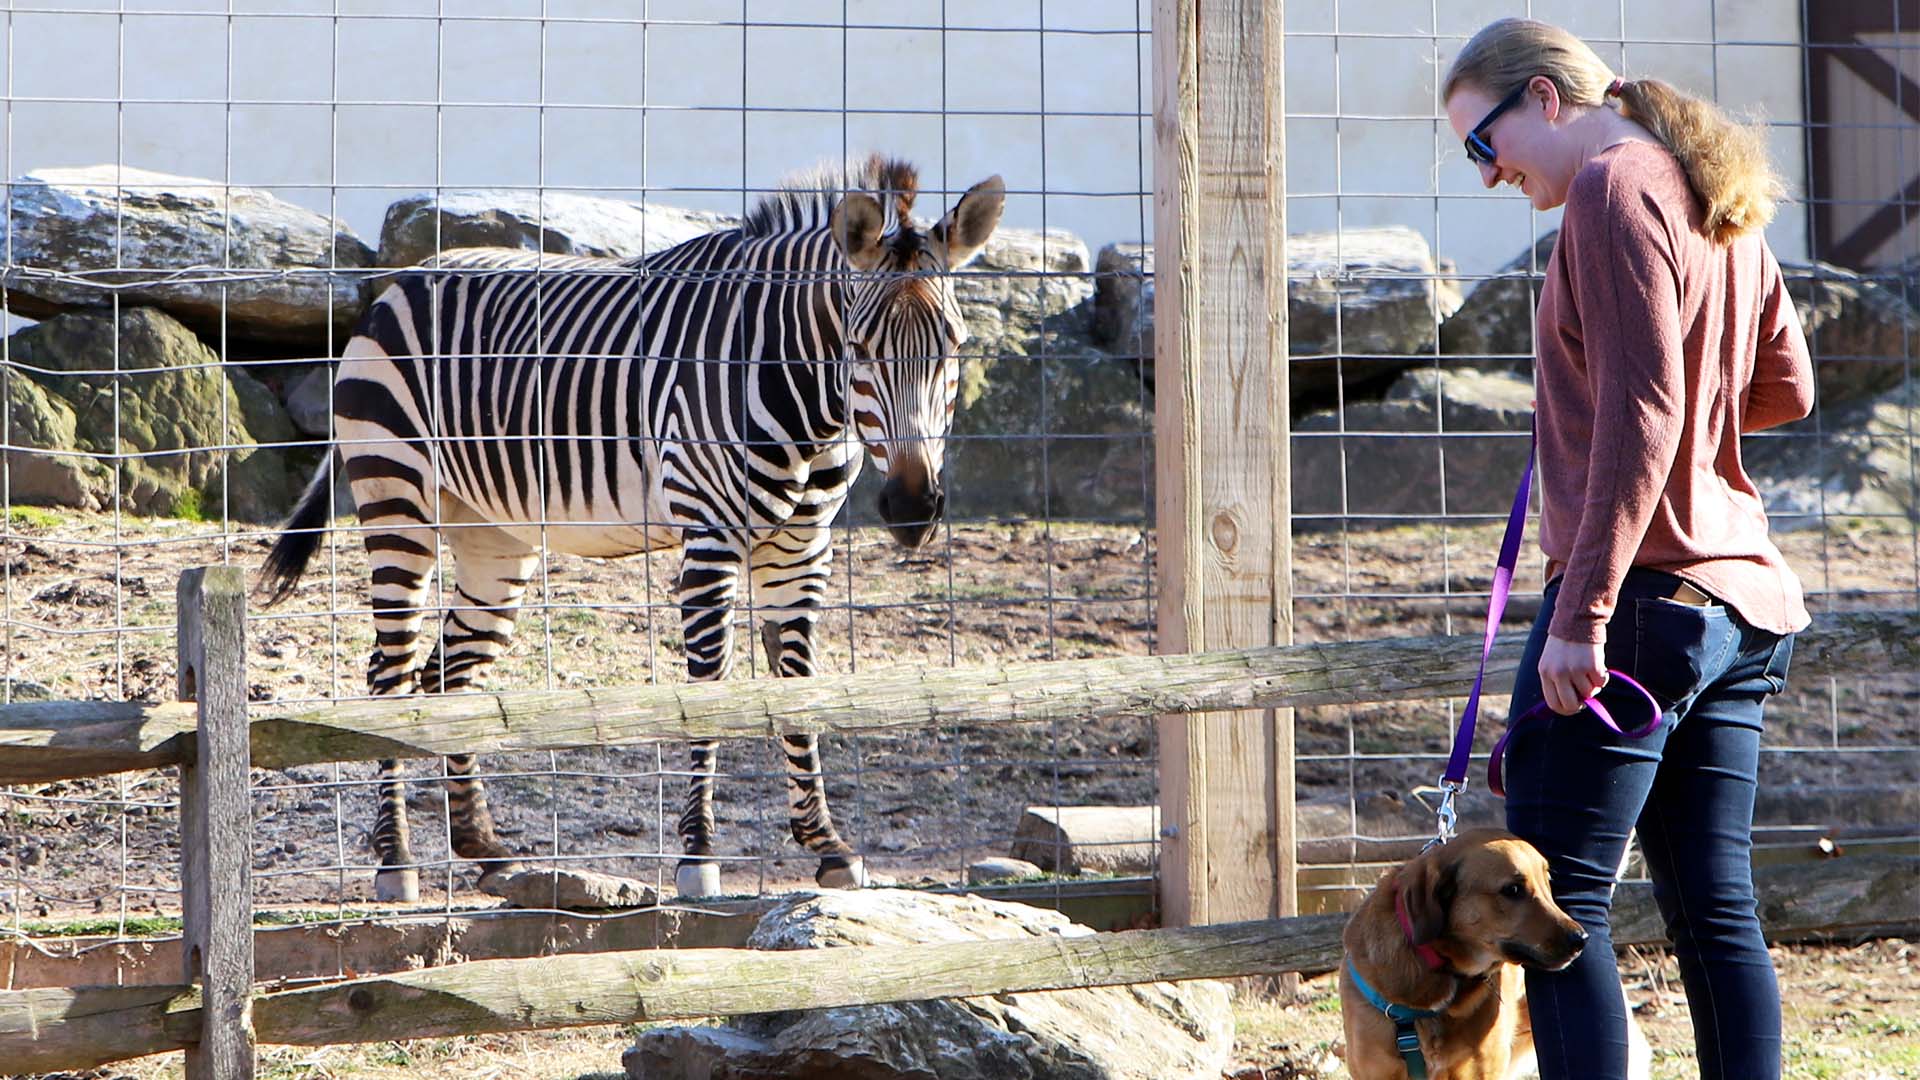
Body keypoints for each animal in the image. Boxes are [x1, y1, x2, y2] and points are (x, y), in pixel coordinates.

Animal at [264, 155, 1013, 895]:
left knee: (449, 676)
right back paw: (397, 863)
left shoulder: (803, 545)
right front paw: (699, 857)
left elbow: (799, 685)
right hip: (397, 496)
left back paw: (485, 849)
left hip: (493, 535)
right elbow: (710, 688)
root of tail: (402, 281)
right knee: (388, 675)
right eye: (858, 346)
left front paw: (827, 846)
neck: (803, 397)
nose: (913, 507)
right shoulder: (710, 535)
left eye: (954, 346)